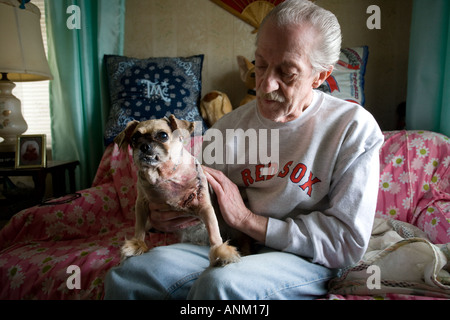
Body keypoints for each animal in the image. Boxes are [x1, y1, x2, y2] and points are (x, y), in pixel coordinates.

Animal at [114, 115, 244, 268]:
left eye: (163, 135)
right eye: (134, 139)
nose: (144, 146)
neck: (163, 176)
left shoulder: (204, 207)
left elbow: (214, 233)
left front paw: (221, 253)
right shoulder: (141, 205)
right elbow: (139, 228)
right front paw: (137, 244)